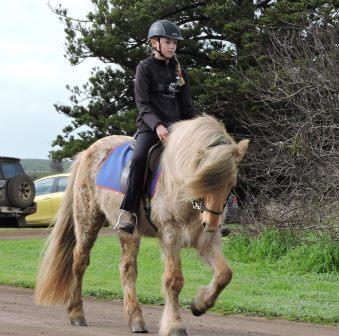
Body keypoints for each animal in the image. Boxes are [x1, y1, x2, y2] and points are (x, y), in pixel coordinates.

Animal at [35, 115, 250, 336]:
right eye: (203, 180)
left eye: (231, 183)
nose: (212, 224)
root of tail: (88, 152)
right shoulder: (170, 237)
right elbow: (174, 281)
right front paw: (175, 325)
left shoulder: (206, 241)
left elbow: (224, 274)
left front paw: (199, 305)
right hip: (88, 221)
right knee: (80, 263)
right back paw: (77, 313)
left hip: (129, 233)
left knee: (127, 270)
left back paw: (135, 319)